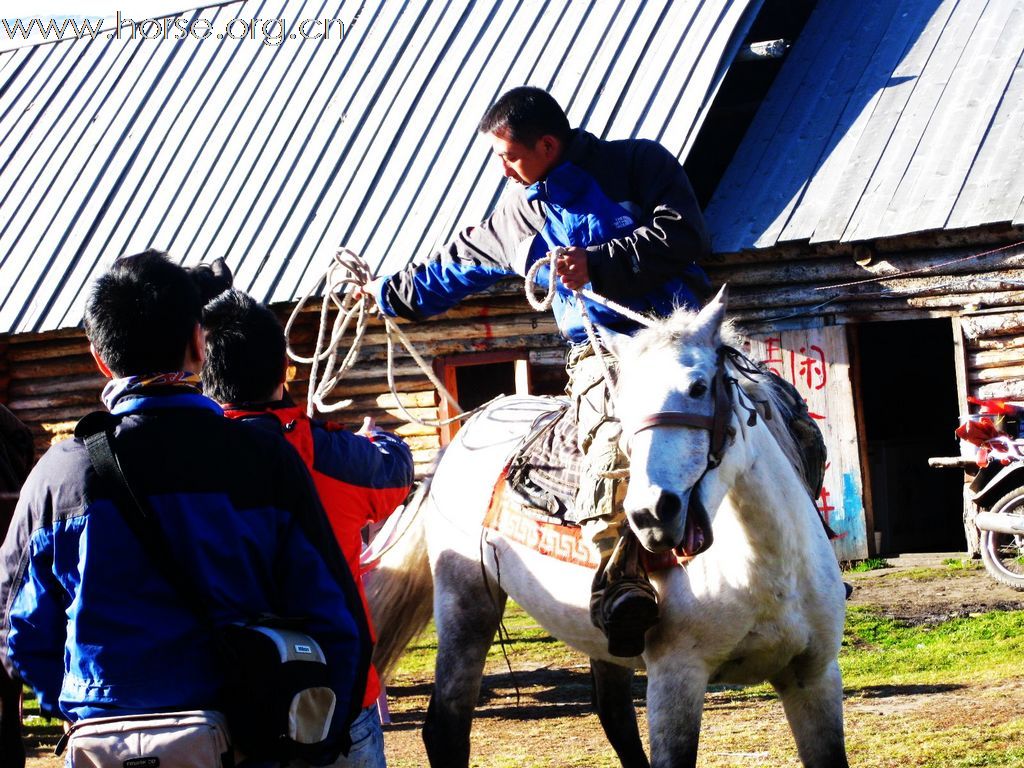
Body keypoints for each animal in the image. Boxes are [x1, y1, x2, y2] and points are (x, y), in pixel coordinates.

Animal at [368, 290, 847, 768]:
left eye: (698, 387)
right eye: (622, 405)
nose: (651, 513)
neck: (768, 569)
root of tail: (470, 429)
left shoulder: (815, 679)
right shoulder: (676, 681)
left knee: (613, 714)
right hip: (466, 607)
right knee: (445, 727)